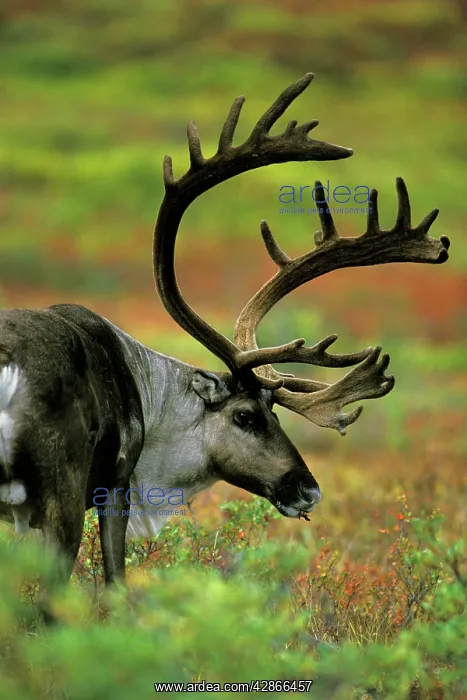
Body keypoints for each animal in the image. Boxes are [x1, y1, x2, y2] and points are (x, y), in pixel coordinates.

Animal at [0, 73, 449, 594]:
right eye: (246, 416)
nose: (308, 488)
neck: (151, 397)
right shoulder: (114, 484)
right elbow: (113, 583)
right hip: (63, 488)